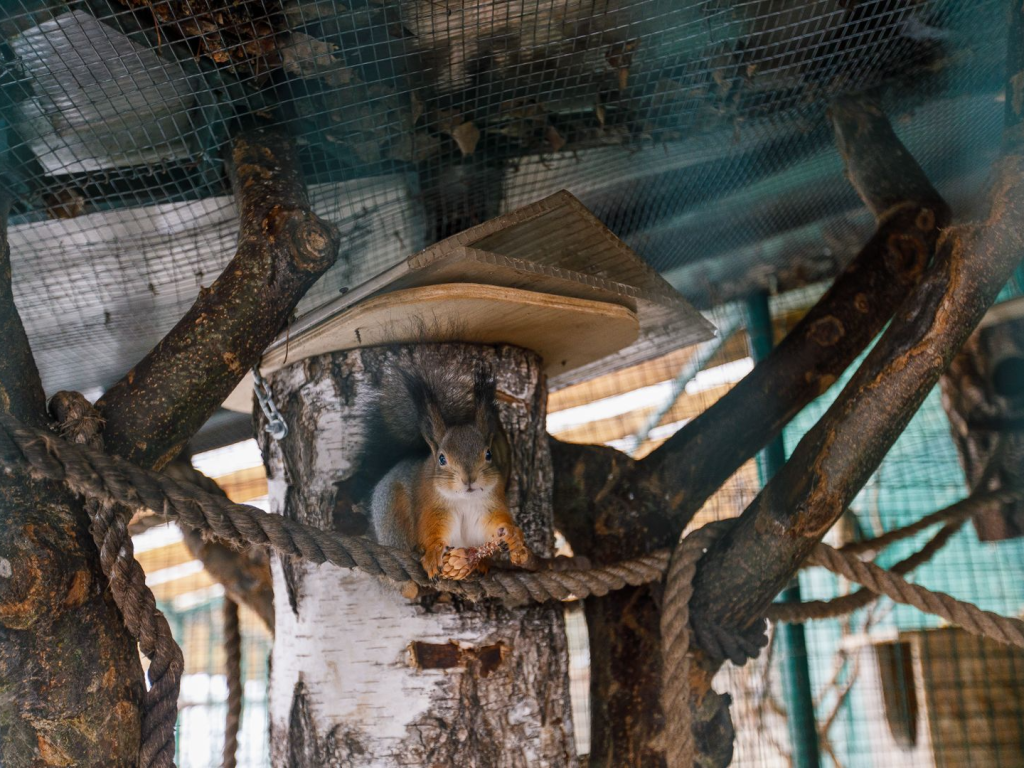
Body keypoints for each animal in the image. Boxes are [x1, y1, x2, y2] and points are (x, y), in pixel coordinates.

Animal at [366, 364, 528, 581]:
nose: (469, 479)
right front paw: (433, 553)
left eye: (488, 454)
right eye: (442, 458)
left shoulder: (490, 505)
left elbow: (496, 524)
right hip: (391, 511)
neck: (464, 500)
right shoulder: (433, 508)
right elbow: (431, 531)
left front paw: (514, 537)